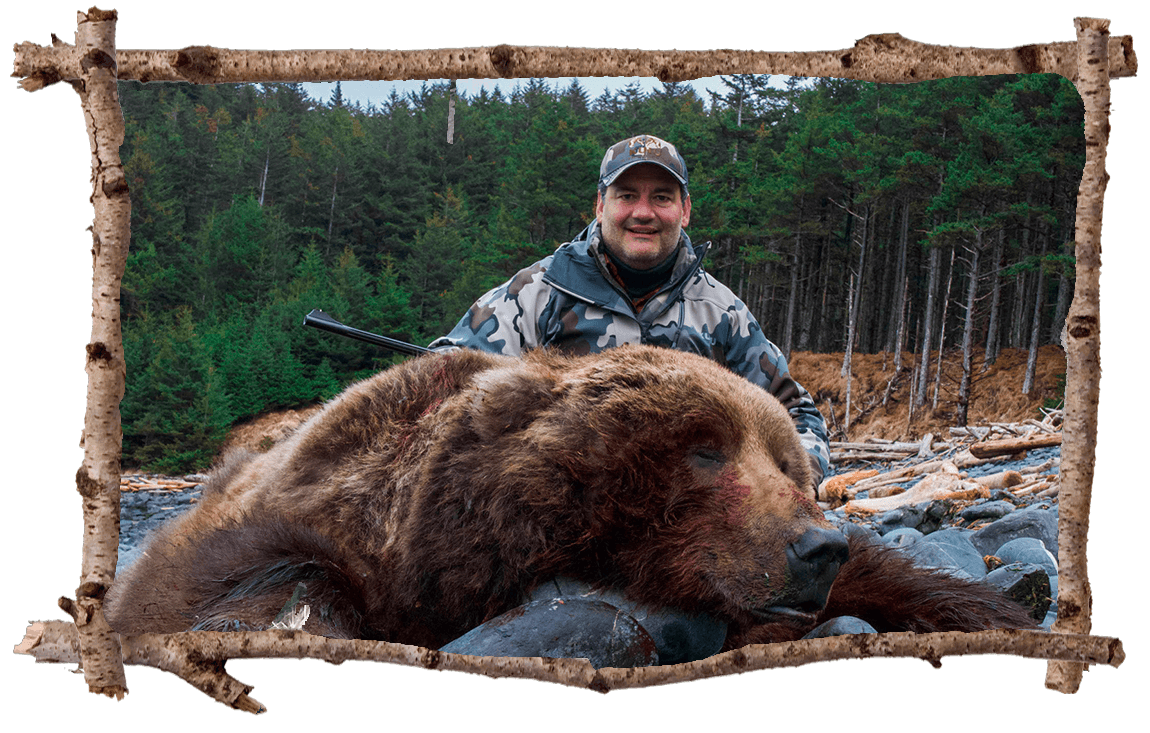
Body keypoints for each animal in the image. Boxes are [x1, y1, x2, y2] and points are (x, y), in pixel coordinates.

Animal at [105, 345, 1035, 658]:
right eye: (703, 448)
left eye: (786, 461)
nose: (816, 547)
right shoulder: (305, 520)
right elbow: (256, 581)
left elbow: (898, 573)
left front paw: (995, 612)